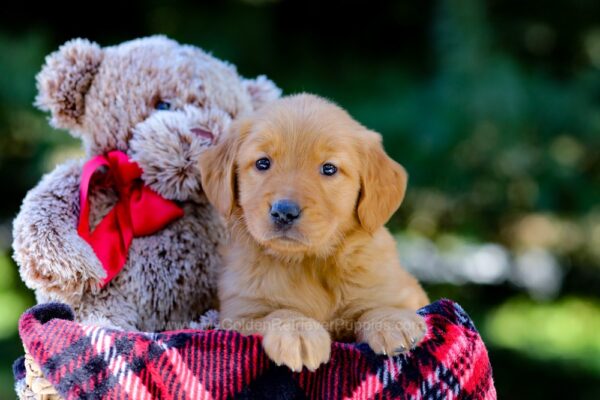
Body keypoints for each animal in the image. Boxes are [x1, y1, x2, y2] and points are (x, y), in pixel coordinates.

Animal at [199, 94, 428, 372]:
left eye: (329, 169)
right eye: (263, 163)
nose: (284, 212)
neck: (309, 263)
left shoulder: (401, 290)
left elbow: (377, 306)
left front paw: (393, 320)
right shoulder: (239, 314)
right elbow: (277, 313)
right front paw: (298, 332)